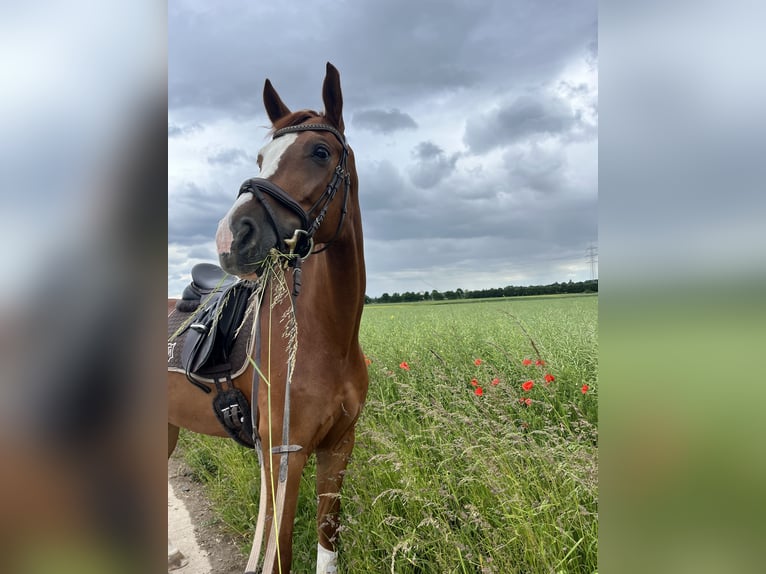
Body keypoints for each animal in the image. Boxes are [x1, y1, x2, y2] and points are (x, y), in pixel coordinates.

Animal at [168, 62, 367, 574]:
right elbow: (280, 554)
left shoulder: (337, 447)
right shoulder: (283, 457)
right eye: (261, 159)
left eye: (320, 151)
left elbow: (327, 543)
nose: (230, 236)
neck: (327, 339)